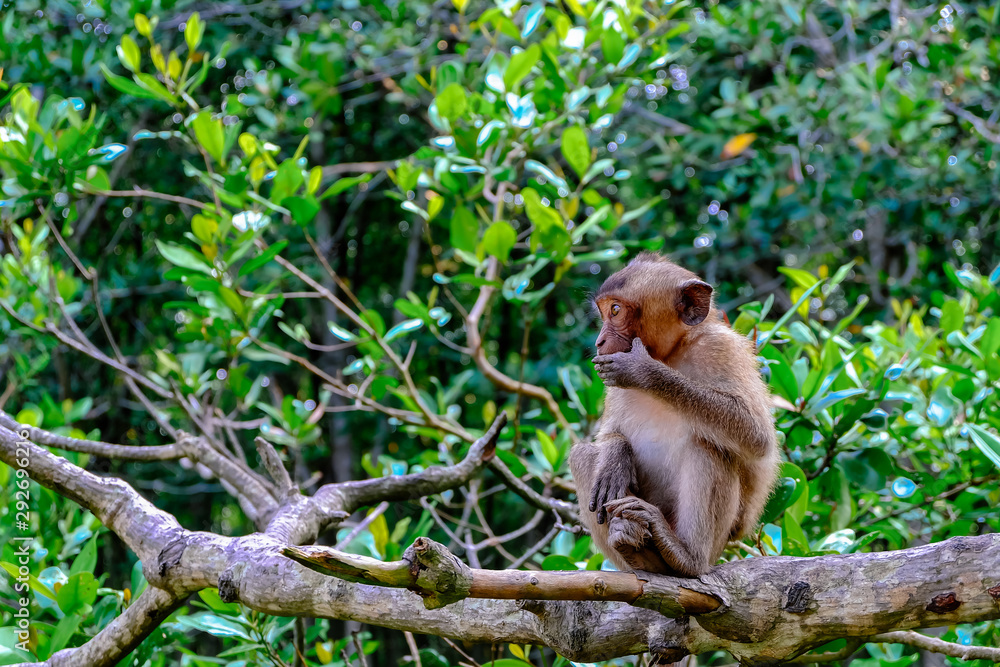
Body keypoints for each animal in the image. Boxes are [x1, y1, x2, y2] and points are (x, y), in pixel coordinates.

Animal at [569, 252, 779, 577]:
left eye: (615, 310)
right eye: (603, 312)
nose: (599, 342)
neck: (671, 354)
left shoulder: (721, 349)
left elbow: (756, 435)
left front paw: (645, 372)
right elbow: (607, 435)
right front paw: (616, 456)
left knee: (708, 446)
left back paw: (685, 557)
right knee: (582, 455)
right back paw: (640, 555)